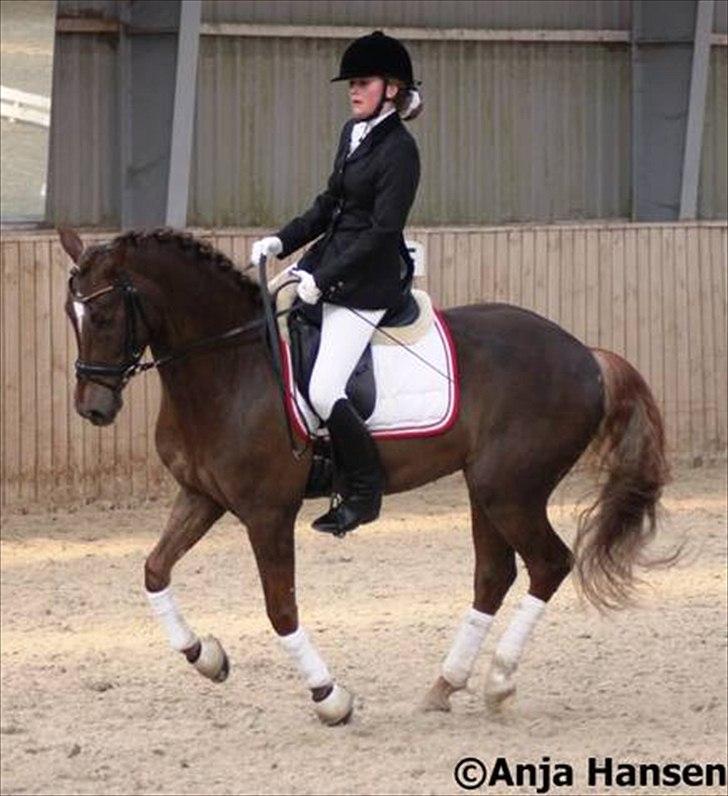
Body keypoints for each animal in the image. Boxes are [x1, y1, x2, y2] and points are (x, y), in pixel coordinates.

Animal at [59, 226, 670, 725]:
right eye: (72, 316)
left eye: (106, 316)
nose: (93, 408)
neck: (229, 366)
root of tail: (586, 354)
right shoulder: (201, 496)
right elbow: (154, 570)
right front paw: (205, 656)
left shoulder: (266, 512)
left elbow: (280, 608)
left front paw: (330, 697)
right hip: (486, 488)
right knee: (493, 576)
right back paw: (446, 684)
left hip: (511, 490)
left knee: (549, 564)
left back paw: (498, 681)